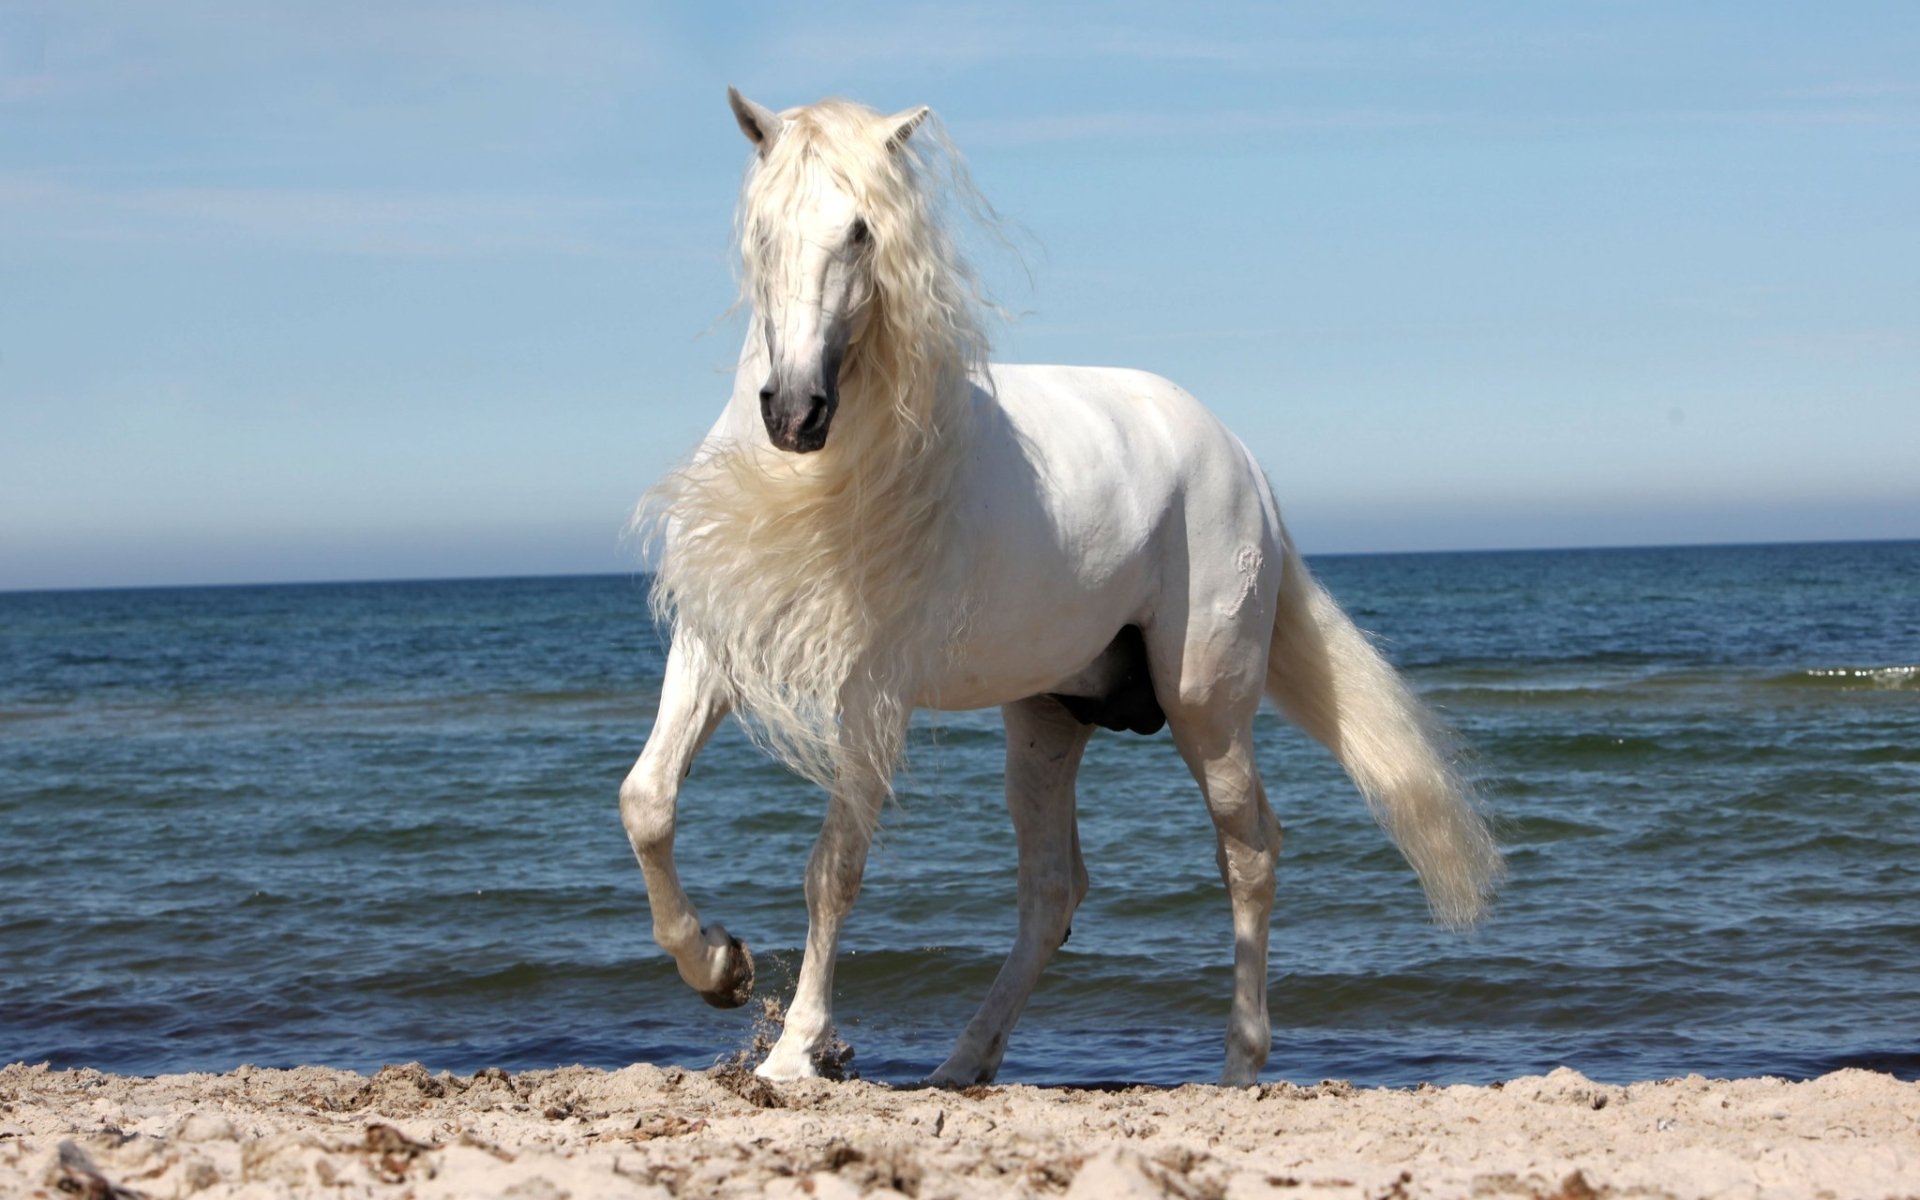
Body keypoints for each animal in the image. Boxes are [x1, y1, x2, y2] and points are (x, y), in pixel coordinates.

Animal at [620, 89, 1504, 1087]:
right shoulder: (712, 647)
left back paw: (1238, 1064)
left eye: (861, 231)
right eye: (762, 229)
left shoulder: (874, 692)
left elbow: (833, 865)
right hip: (1047, 718)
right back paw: (963, 1063)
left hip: (1205, 706)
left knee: (1248, 852)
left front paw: (795, 1051)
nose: (796, 413)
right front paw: (719, 968)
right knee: (1053, 891)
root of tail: (1235, 452)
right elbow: (646, 801)